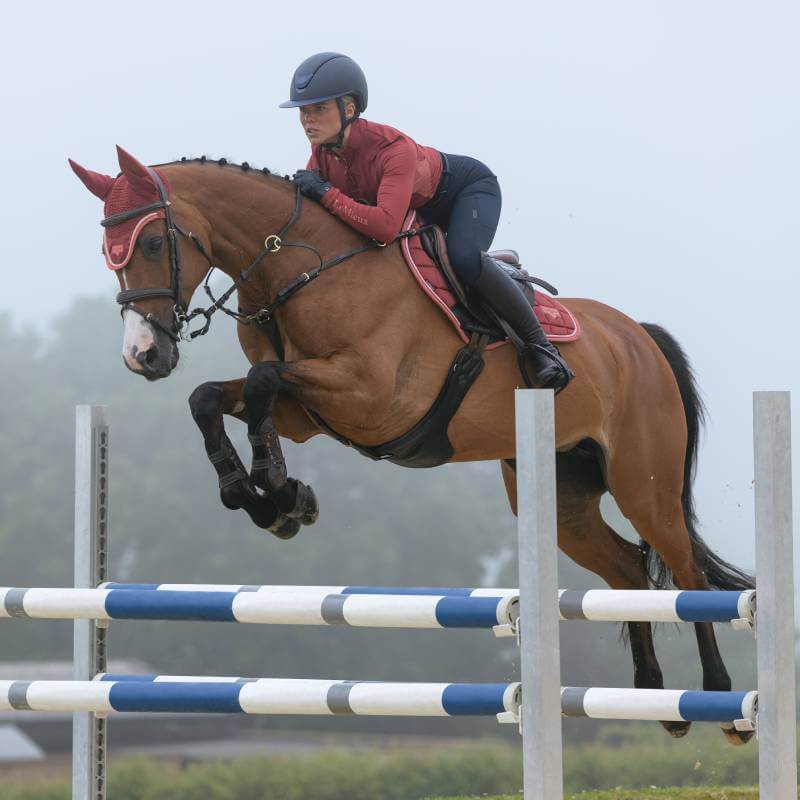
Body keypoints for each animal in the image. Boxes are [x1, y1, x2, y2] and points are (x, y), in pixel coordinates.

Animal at [69, 146, 754, 744]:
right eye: (108, 254)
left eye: (153, 242)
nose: (143, 356)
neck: (301, 269)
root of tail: (637, 335)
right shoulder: (306, 413)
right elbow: (213, 398)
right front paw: (269, 497)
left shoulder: (369, 397)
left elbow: (262, 382)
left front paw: (276, 489)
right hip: (564, 498)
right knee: (630, 570)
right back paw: (655, 700)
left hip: (645, 484)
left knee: (686, 573)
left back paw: (722, 701)